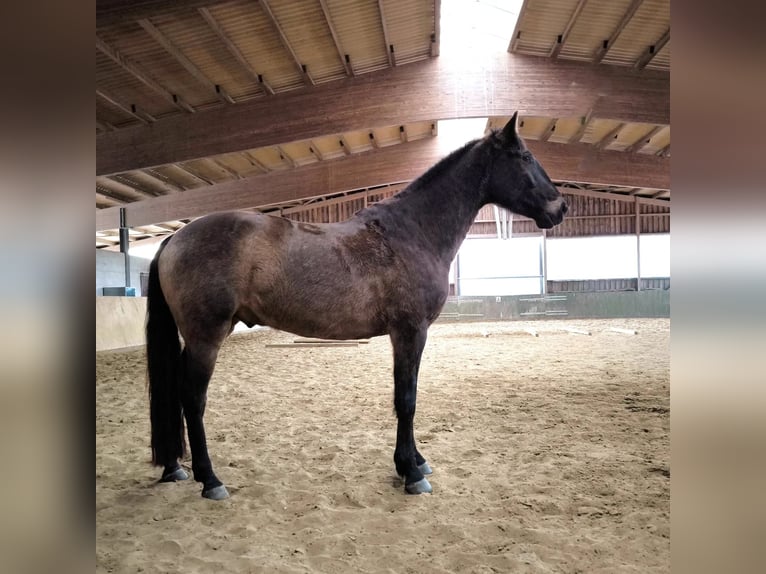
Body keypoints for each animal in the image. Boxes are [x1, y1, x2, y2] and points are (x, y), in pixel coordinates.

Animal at [148, 112, 568, 500]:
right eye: (525, 156)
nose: (560, 207)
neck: (413, 232)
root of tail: (174, 237)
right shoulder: (410, 332)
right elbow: (407, 399)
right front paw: (411, 473)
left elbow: (407, 395)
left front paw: (415, 461)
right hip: (206, 337)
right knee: (193, 399)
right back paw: (210, 480)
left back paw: (176, 468)